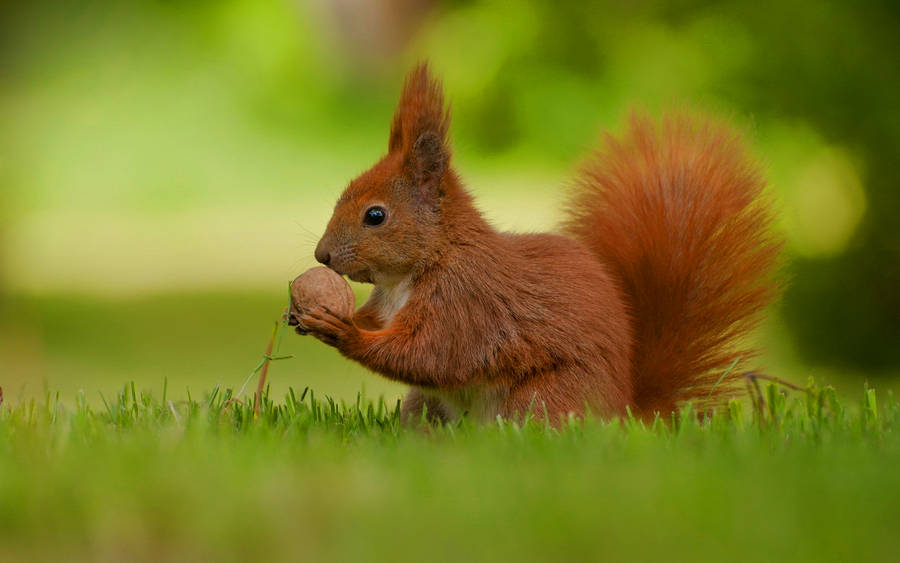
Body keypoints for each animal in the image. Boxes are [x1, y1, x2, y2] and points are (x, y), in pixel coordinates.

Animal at [294, 62, 780, 424]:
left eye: (375, 216)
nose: (322, 255)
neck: (415, 270)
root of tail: (625, 411)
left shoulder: (466, 303)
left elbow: (428, 354)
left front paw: (344, 332)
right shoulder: (389, 303)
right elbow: (381, 326)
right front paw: (309, 315)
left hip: (543, 399)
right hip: (425, 406)